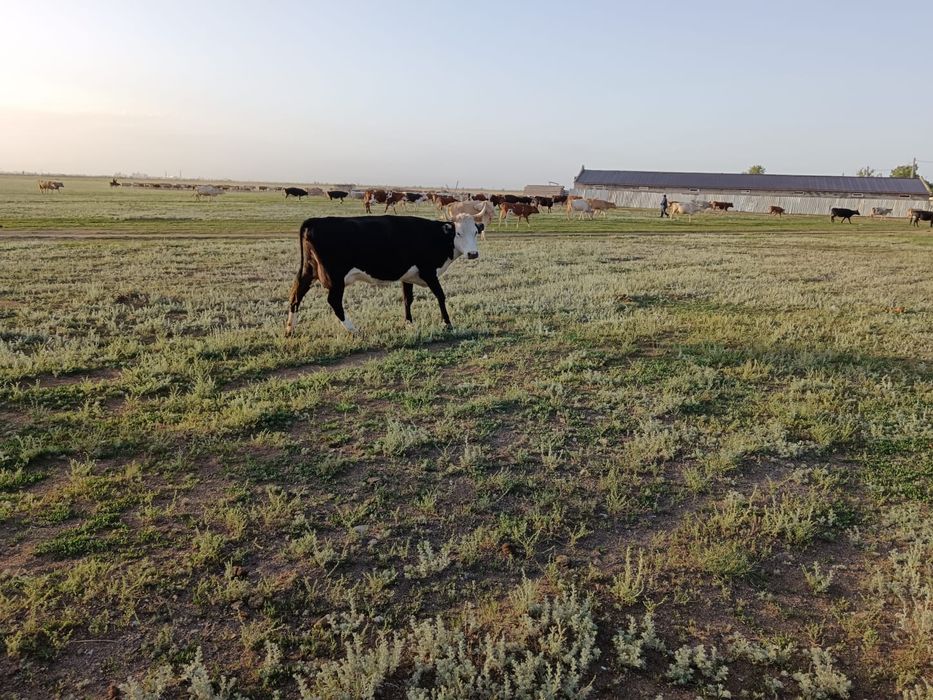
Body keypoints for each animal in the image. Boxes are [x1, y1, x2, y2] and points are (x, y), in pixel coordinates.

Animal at [285, 214, 482, 336]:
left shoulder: (407, 276)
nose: (473, 253)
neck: (435, 236)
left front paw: (409, 323)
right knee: (333, 301)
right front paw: (447, 323)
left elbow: (407, 299)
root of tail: (315, 221)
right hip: (335, 279)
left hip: (308, 271)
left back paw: (289, 330)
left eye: (475, 232)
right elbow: (440, 296)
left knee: (296, 294)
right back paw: (354, 330)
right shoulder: (429, 272)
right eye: (458, 233)